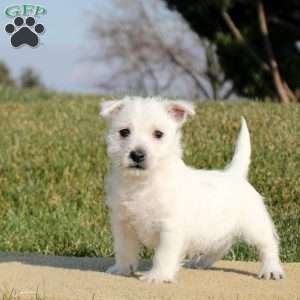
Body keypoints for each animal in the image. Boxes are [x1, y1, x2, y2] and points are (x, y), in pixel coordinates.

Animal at [100, 96, 284, 284]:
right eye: (124, 132)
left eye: (158, 134)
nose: (137, 155)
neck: (143, 183)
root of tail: (234, 174)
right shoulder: (123, 224)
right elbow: (124, 249)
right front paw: (122, 269)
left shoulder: (170, 228)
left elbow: (163, 254)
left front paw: (157, 276)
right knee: (220, 246)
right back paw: (201, 262)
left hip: (255, 225)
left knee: (268, 245)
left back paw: (271, 270)